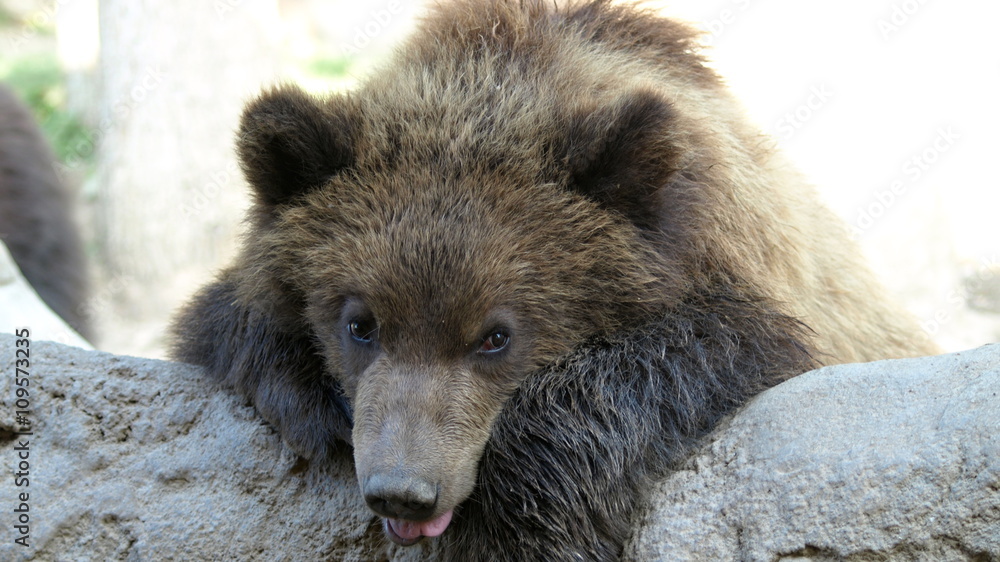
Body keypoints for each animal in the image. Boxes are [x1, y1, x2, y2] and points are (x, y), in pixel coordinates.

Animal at [170, 0, 937, 559]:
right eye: (359, 323)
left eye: (495, 335)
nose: (404, 491)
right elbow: (230, 318)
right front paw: (308, 396)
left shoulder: (741, 282)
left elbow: (669, 362)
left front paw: (519, 512)